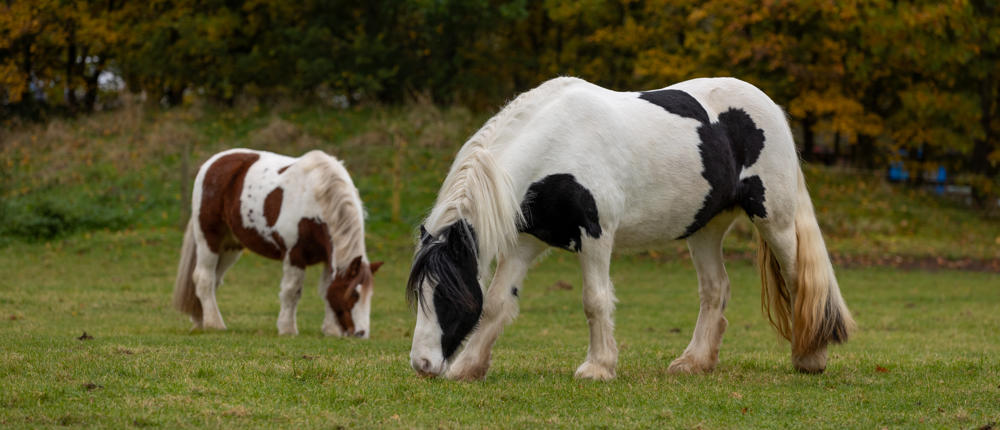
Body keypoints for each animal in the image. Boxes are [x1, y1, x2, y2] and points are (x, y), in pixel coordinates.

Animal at [173, 148, 383, 338]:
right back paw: (214, 324)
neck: (316, 199)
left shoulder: (327, 257)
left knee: (213, 280)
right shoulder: (294, 255)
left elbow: (326, 290)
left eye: (370, 295)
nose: (361, 333)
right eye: (354, 294)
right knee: (203, 277)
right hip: (209, 239)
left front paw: (330, 330)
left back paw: (201, 321)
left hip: (230, 246)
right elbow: (292, 291)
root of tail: (211, 163)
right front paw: (287, 329)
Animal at [406, 77, 855, 380]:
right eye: (420, 295)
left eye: (447, 294)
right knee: (716, 289)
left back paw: (810, 358)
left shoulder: (595, 235)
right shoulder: (525, 242)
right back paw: (694, 362)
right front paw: (469, 367)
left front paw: (598, 367)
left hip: (773, 218)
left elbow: (595, 300)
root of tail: (769, 106)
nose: (422, 364)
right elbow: (498, 302)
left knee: (799, 281)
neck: (556, 143)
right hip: (705, 229)